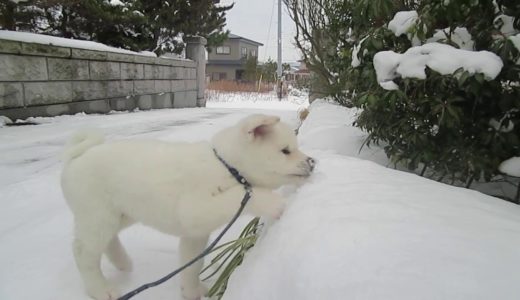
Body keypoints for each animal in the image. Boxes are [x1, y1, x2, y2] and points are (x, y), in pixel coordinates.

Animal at [59, 114, 314, 300]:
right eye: (285, 151)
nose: (312, 162)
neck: (226, 166)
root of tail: (76, 157)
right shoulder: (195, 209)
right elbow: (241, 195)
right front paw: (274, 203)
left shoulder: (195, 233)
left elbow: (193, 264)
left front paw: (192, 292)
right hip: (98, 216)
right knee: (83, 252)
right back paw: (101, 290)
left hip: (122, 213)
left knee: (108, 240)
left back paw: (123, 263)